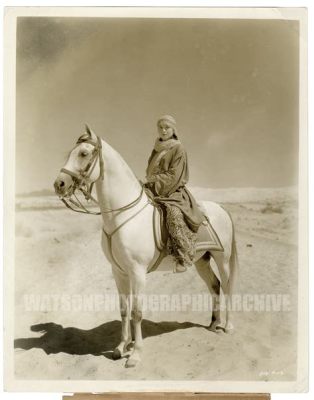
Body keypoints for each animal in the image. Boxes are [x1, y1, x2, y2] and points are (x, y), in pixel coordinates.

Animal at [54, 126, 238, 368]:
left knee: (226, 286)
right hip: (201, 261)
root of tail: (222, 209)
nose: (59, 184)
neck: (123, 215)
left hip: (222, 258)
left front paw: (135, 354)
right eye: (70, 152)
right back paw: (213, 324)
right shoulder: (119, 272)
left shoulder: (138, 271)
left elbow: (137, 311)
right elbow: (124, 310)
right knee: (214, 285)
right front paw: (121, 347)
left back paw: (228, 326)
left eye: (84, 153)